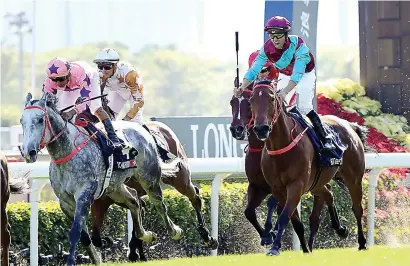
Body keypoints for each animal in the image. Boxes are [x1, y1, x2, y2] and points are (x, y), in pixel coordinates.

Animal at [19, 92, 183, 264]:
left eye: (40, 120)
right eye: (22, 121)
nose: (28, 152)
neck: (68, 152)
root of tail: (141, 128)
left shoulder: (84, 195)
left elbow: (75, 231)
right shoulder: (65, 202)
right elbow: (84, 237)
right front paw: (97, 259)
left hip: (149, 177)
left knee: (159, 204)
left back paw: (174, 231)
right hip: (114, 187)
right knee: (134, 201)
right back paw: (147, 235)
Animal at [89, 120, 218, 262]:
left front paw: (135, 251)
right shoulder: (101, 201)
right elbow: (96, 237)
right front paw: (130, 250)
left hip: (179, 178)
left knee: (195, 197)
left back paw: (208, 238)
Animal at [248, 83, 370, 256]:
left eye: (272, 99)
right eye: (251, 100)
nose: (261, 129)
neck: (281, 147)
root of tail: (349, 125)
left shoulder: (296, 185)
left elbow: (284, 216)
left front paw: (275, 247)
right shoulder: (278, 189)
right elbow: (294, 220)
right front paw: (304, 249)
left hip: (354, 179)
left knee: (357, 208)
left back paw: (362, 243)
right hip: (316, 182)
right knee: (328, 193)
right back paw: (339, 230)